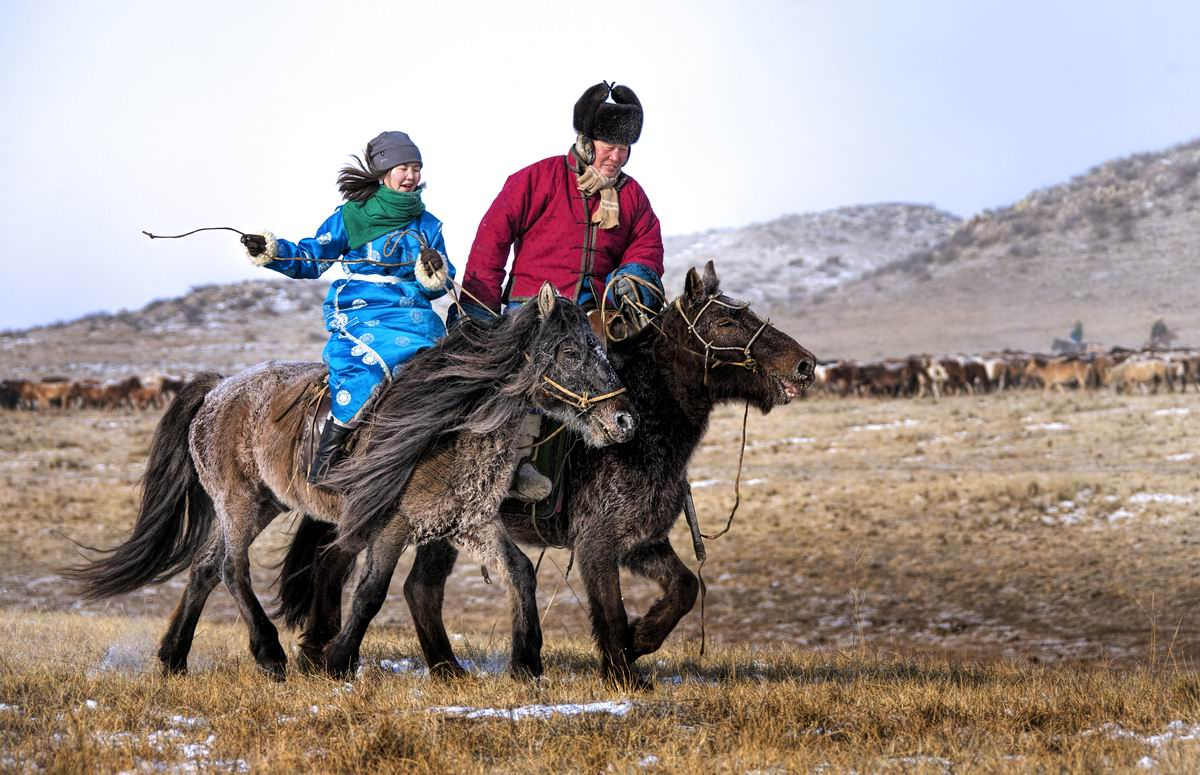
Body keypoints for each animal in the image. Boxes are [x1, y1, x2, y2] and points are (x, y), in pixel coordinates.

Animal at [68, 285, 638, 681]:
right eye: (572, 352)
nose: (624, 421)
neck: (452, 427)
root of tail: (216, 391)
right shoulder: (395, 523)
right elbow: (370, 592)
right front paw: (336, 661)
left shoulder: (467, 521)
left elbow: (519, 571)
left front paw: (526, 662)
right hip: (239, 501)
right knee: (231, 568)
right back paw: (269, 653)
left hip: (266, 504)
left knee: (206, 568)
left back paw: (174, 657)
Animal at [280, 263, 820, 691]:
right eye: (728, 319)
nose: (806, 364)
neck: (643, 427)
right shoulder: (597, 542)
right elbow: (610, 608)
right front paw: (624, 672)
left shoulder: (641, 542)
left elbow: (685, 588)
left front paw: (641, 640)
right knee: (339, 564)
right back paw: (320, 653)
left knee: (417, 589)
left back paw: (440, 667)